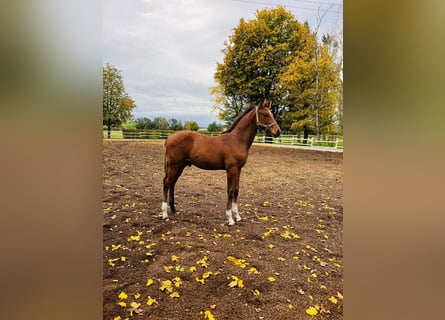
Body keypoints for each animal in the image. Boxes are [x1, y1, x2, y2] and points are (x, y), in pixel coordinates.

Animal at [161, 97, 280, 225]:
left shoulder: (238, 169)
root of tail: (169, 138)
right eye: (265, 114)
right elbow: (230, 190)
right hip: (174, 165)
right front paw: (230, 219)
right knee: (167, 183)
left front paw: (237, 216)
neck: (237, 140)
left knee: (172, 183)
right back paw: (164, 214)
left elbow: (236, 190)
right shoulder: (231, 169)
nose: (278, 132)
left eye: (271, 114)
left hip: (180, 166)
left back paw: (173, 209)